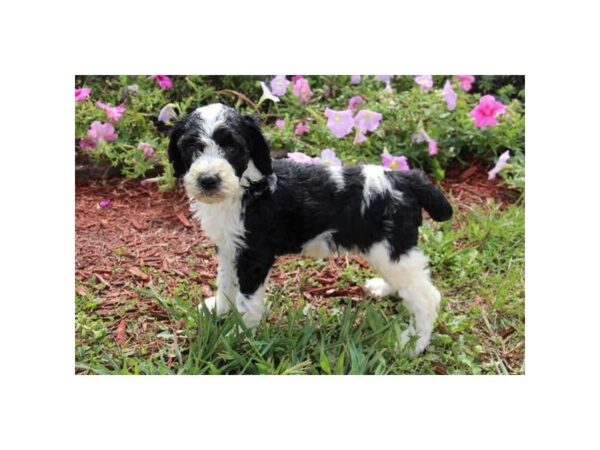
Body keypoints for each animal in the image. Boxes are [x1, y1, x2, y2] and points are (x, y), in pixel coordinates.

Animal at [166, 103, 452, 354]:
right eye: (191, 147)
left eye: (233, 147)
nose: (208, 180)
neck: (244, 189)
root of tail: (404, 178)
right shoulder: (228, 247)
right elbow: (225, 281)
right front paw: (220, 310)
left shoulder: (254, 256)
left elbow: (247, 301)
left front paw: (238, 336)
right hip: (389, 252)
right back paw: (384, 288)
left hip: (392, 249)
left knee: (428, 298)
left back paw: (412, 345)